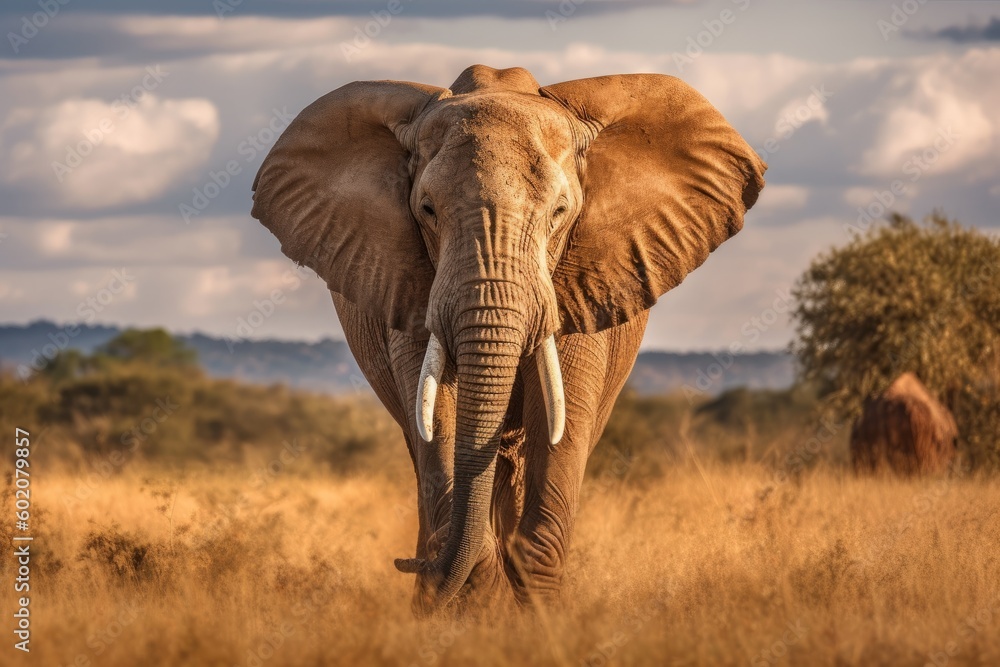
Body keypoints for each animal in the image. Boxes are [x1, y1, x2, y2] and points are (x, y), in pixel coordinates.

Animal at [251, 64, 766, 614]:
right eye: (427, 210)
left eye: (560, 212)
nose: (411, 567)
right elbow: (439, 419)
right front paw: (473, 606)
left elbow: (559, 424)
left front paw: (537, 617)